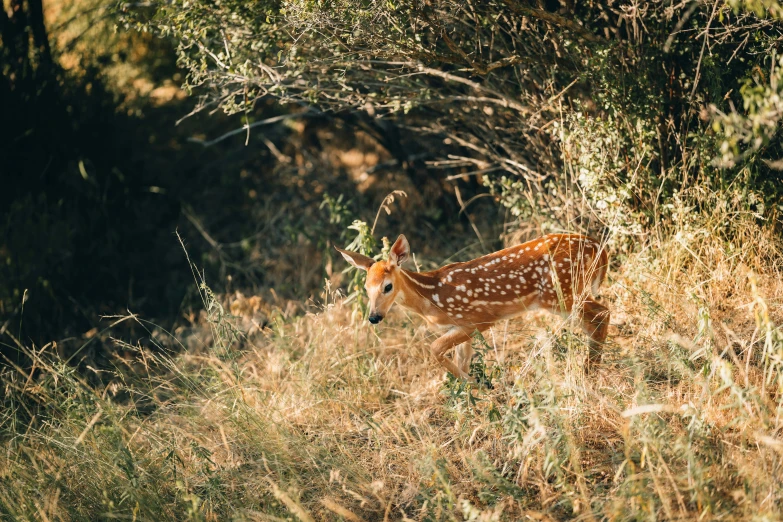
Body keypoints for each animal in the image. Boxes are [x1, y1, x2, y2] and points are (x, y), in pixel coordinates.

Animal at [336, 234, 612, 376]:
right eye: (366, 288)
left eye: (387, 286)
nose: (374, 317)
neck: (431, 297)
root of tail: (598, 247)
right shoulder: (458, 327)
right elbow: (461, 359)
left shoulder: (478, 319)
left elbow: (435, 349)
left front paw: (473, 384)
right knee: (596, 319)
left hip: (560, 293)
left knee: (601, 314)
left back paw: (589, 372)